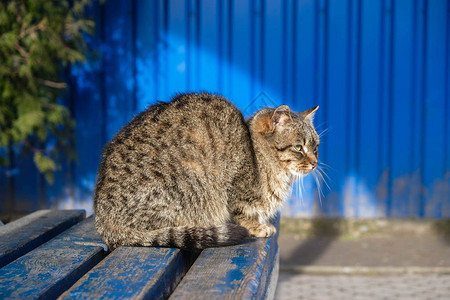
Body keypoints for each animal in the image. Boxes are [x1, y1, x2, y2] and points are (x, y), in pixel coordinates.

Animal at [94, 92, 320, 251]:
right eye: (299, 147)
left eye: (316, 146)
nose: (315, 162)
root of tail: (102, 219)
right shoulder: (235, 194)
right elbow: (241, 214)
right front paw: (257, 226)